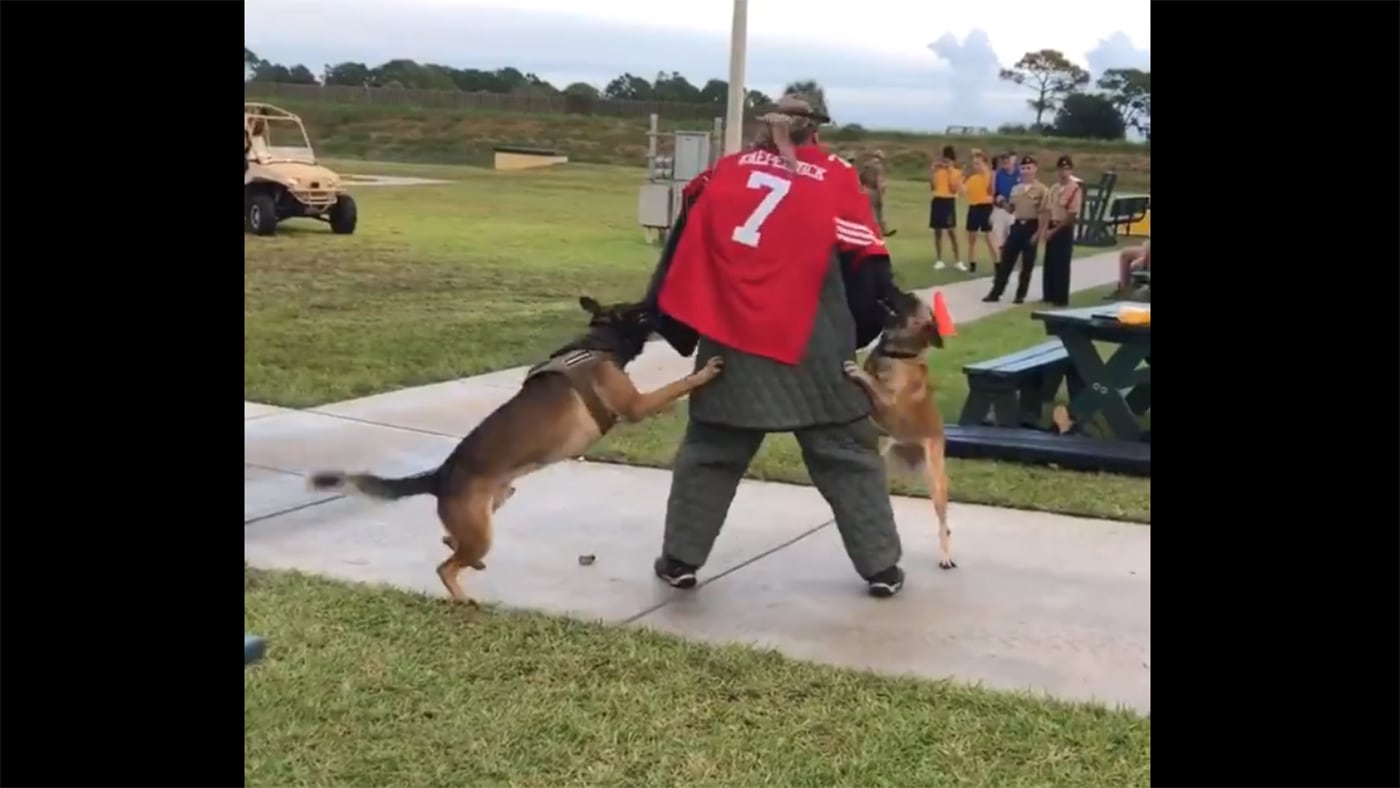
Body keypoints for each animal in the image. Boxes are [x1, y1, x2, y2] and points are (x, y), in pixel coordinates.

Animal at [306, 298, 722, 604]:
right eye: (641, 313)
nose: (659, 306)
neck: (597, 343)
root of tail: (439, 476)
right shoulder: (635, 405)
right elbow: (673, 386)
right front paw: (702, 373)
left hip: (495, 503)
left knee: (451, 544)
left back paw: (467, 563)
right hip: (482, 528)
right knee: (446, 567)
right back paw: (463, 598)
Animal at [834, 289, 957, 568]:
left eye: (913, 303)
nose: (904, 291)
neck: (897, 355)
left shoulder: (889, 402)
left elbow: (873, 383)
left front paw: (859, 373)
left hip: (936, 480)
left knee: (943, 524)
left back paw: (945, 555)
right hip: (887, 459)